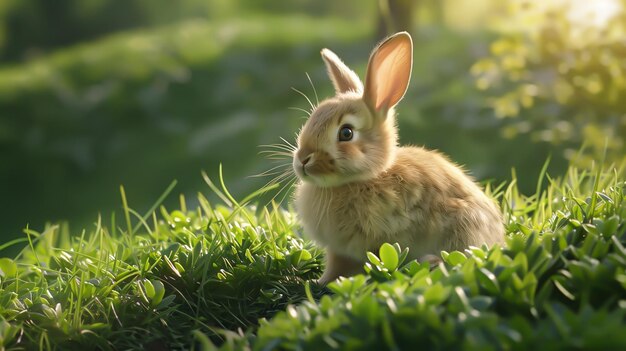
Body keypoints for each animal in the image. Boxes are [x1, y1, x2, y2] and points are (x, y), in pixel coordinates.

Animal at [292, 32, 502, 286]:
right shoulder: (339, 251)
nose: (302, 160)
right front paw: (320, 282)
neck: (366, 178)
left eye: (346, 133)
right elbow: (335, 267)